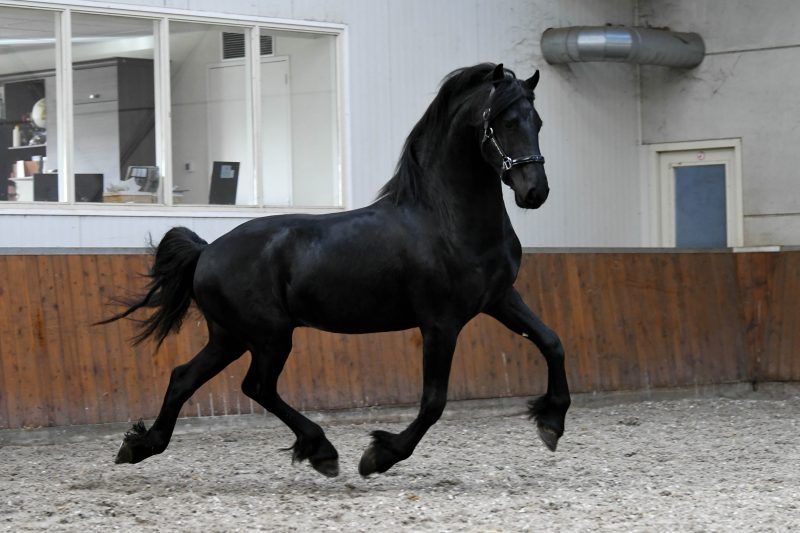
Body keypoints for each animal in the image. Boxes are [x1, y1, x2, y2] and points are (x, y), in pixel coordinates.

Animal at [101, 62, 571, 478]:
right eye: (504, 122)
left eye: (538, 121)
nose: (535, 191)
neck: (446, 220)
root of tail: (207, 250)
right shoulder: (441, 322)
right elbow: (434, 401)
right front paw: (380, 456)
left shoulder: (500, 299)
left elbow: (552, 342)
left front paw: (552, 423)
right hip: (269, 336)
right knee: (256, 387)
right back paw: (322, 450)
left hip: (230, 337)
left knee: (184, 378)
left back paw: (141, 446)